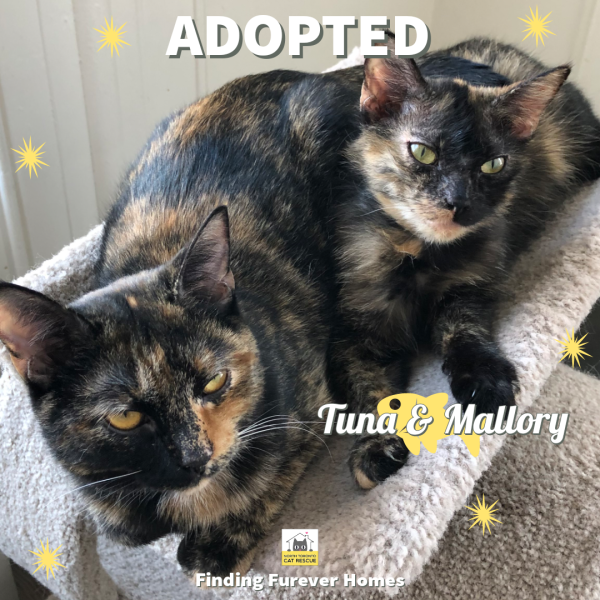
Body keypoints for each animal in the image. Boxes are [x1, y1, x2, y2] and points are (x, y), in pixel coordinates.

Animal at [0, 68, 363, 577]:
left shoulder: (311, 402)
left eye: (214, 381)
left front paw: (216, 543)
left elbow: (272, 471)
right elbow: (119, 522)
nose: (197, 456)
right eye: (126, 417)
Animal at [328, 37, 600, 489]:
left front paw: (485, 380)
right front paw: (375, 447)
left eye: (493, 164)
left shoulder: (471, 286)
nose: (458, 202)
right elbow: (368, 391)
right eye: (423, 152)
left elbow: (463, 329)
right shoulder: (356, 333)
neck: (421, 260)